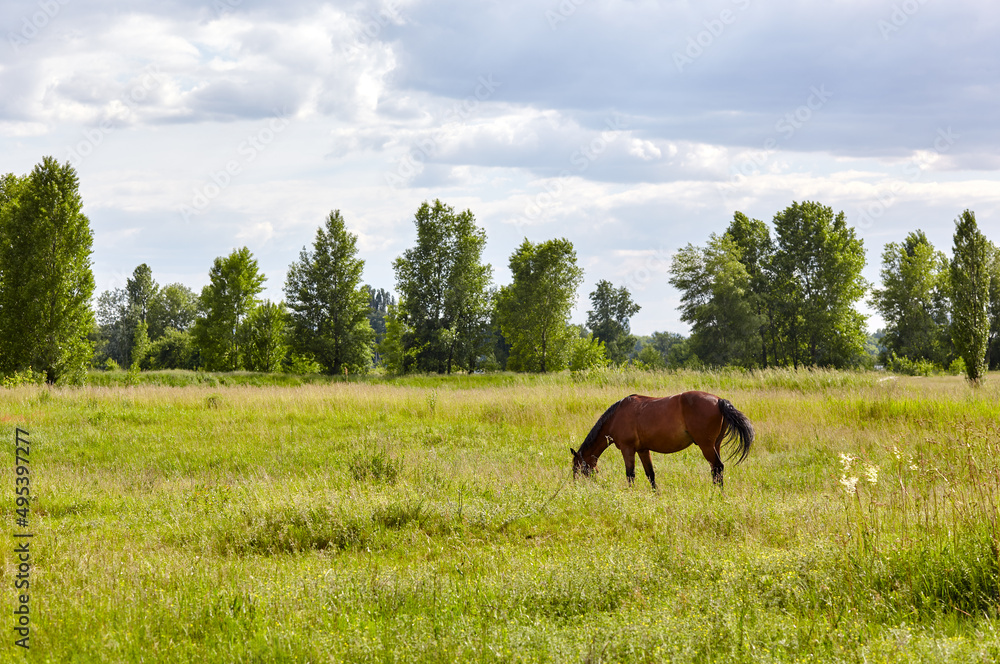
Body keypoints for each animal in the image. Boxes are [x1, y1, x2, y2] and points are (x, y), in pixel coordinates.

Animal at [572, 392, 752, 490]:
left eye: (578, 468)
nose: (577, 487)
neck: (616, 416)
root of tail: (719, 400)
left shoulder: (627, 449)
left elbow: (630, 474)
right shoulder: (643, 450)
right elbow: (650, 474)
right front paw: (655, 494)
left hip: (706, 446)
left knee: (718, 467)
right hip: (715, 445)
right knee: (716, 470)